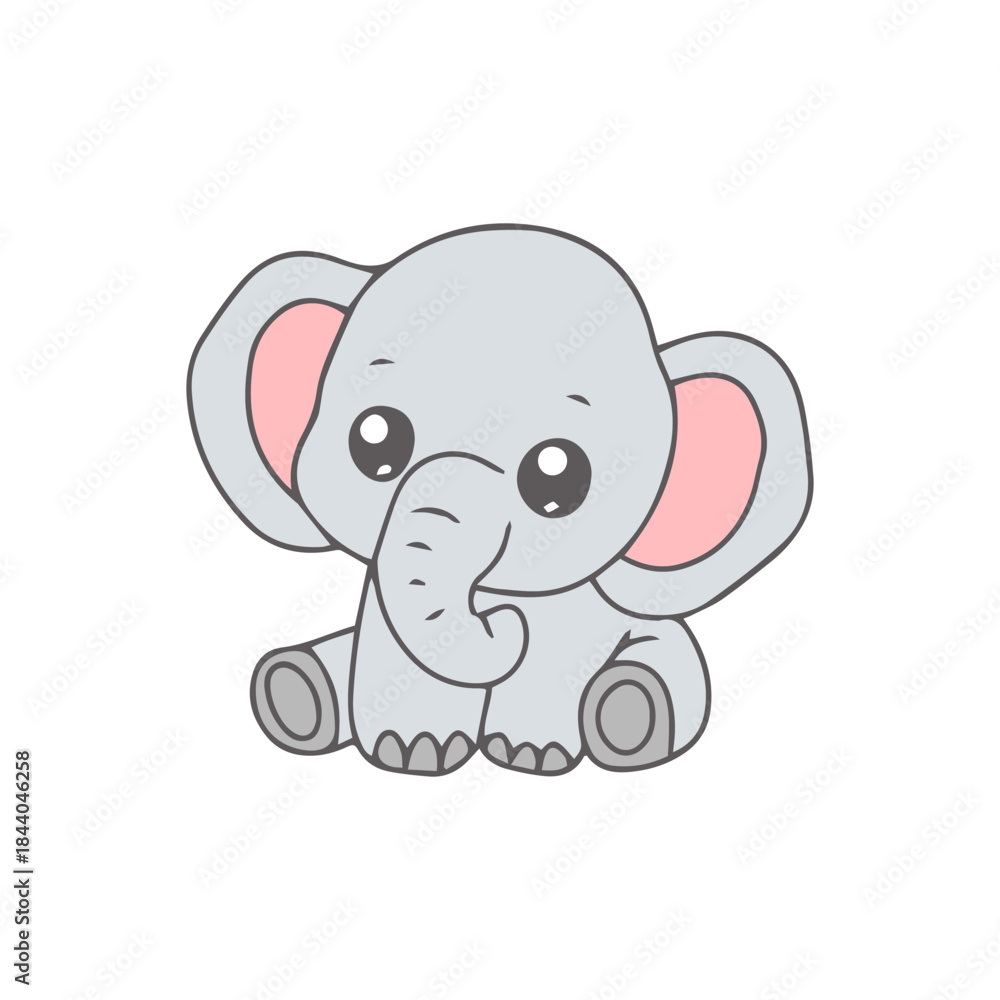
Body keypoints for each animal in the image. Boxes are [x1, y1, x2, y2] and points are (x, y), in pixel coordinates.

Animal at [187, 224, 812, 776]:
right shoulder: (381, 608)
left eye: (557, 479)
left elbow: (549, 666)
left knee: (659, 670)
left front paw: (529, 755)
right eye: (375, 441)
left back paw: (630, 711)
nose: (502, 621)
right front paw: (413, 751)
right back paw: (295, 690)